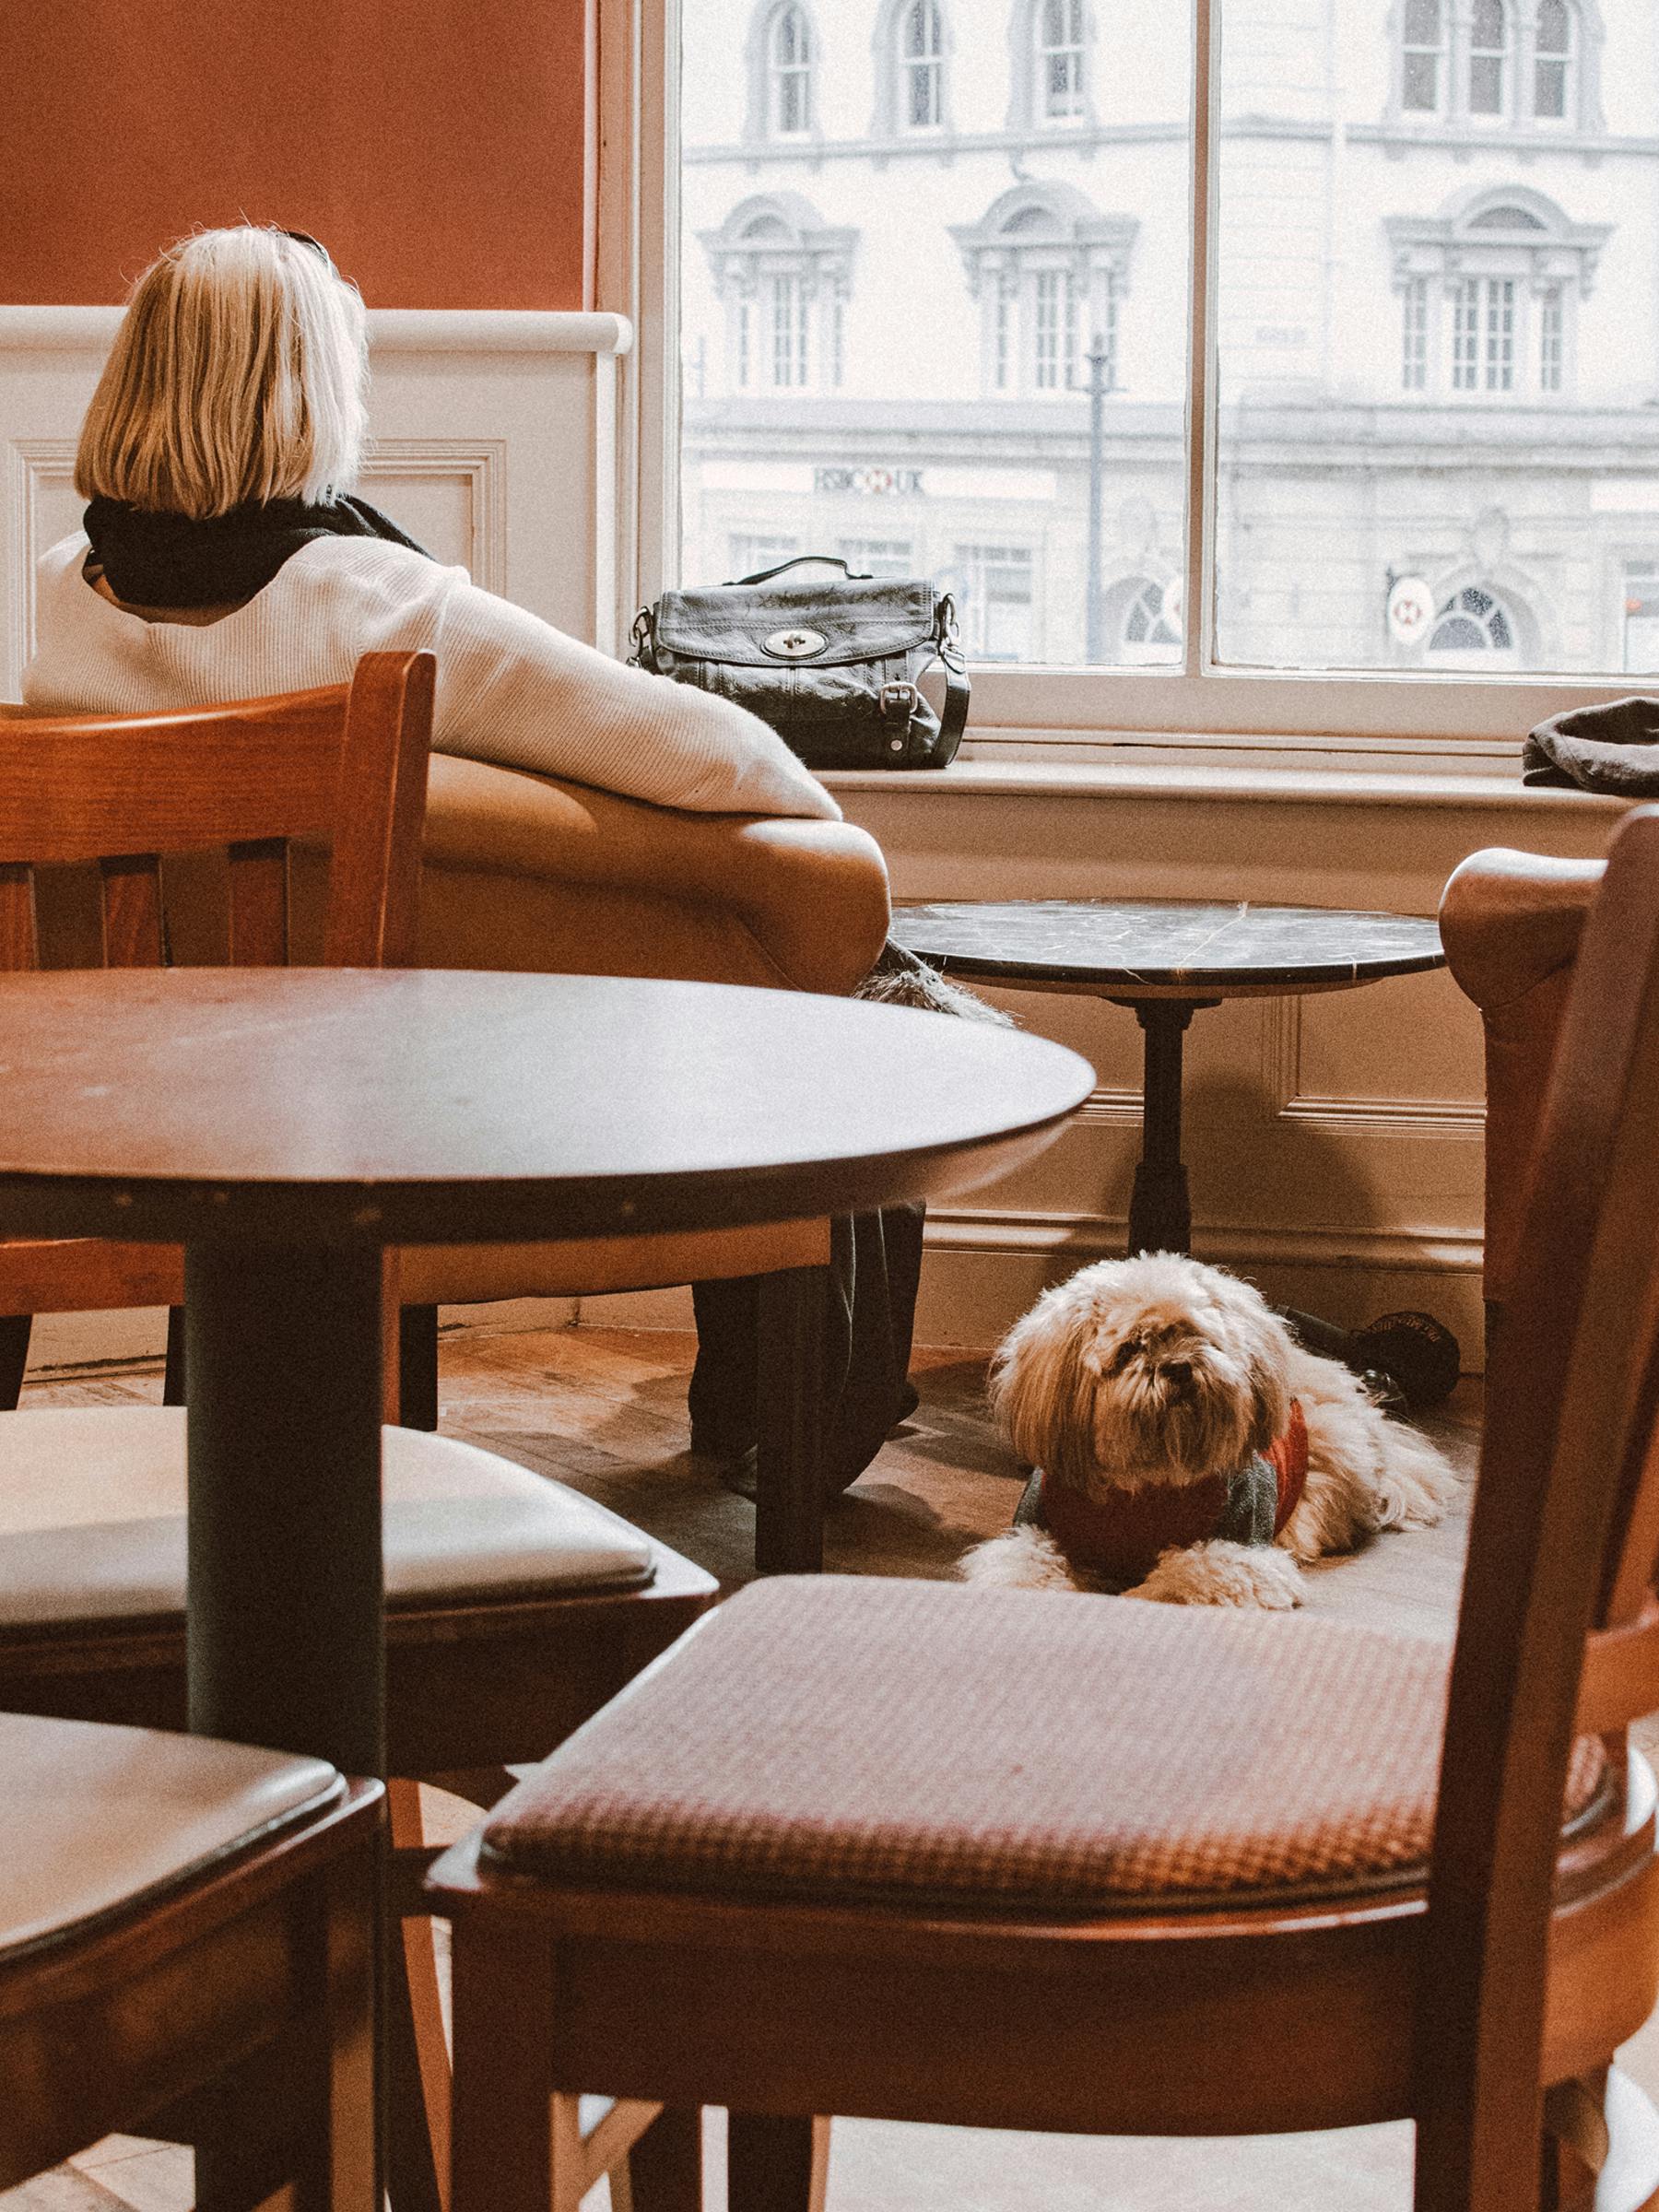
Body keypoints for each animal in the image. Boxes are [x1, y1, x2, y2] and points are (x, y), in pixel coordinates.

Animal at [959, 1265, 1451, 1610]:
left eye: (1196, 1335)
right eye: (1131, 1347)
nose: (1178, 1367)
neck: (1145, 1488)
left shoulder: (1240, 1558)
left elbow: (1180, 1578)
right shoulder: (1030, 1540)